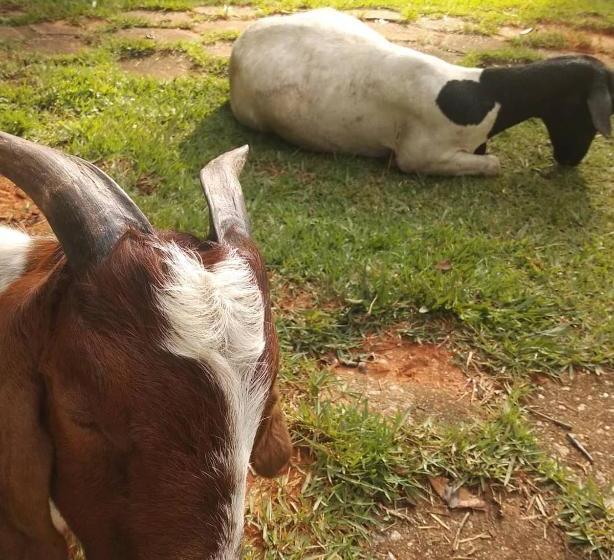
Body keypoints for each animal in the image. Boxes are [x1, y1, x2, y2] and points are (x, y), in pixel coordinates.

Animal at [231, 8, 614, 175]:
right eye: (587, 116)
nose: (570, 160)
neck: (485, 96)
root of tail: (245, 37)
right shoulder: (420, 156)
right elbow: (494, 163)